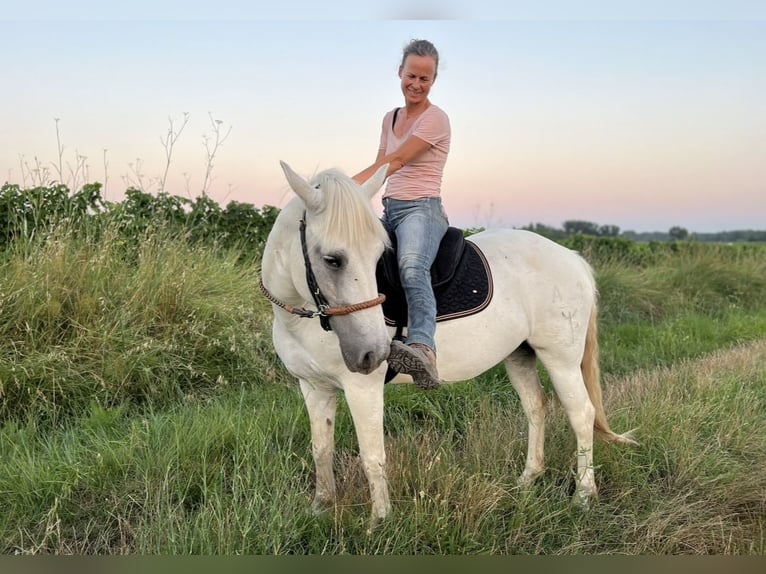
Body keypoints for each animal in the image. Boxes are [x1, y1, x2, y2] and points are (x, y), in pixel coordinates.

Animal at [260, 162, 640, 528]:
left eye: (378, 256)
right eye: (332, 259)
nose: (374, 353)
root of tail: (572, 258)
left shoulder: (362, 387)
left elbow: (372, 455)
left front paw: (379, 522)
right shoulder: (314, 386)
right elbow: (321, 449)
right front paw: (321, 508)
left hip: (560, 358)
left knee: (582, 413)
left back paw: (583, 496)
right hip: (519, 355)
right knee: (536, 407)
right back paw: (528, 479)